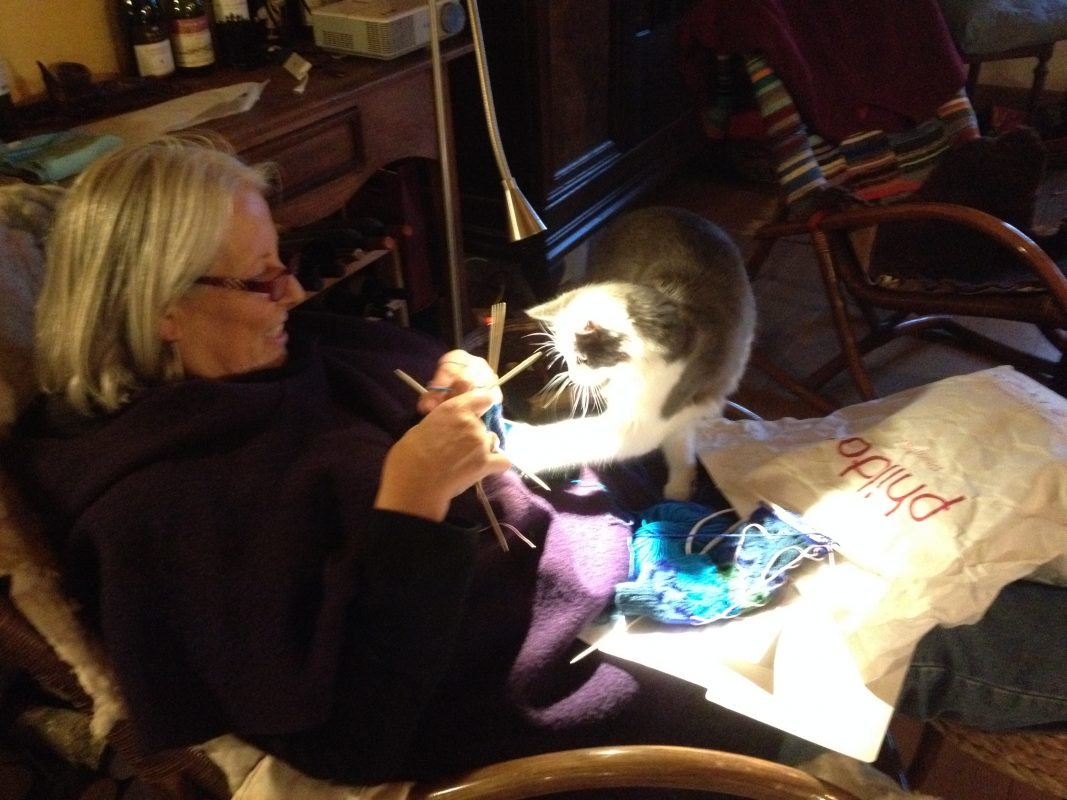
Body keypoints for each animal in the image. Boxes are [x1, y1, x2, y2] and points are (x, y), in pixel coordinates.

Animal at [503, 205, 757, 499]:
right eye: (565, 359)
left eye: (582, 360)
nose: (573, 377)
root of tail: (654, 208)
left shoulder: (657, 411)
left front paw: (522, 446)